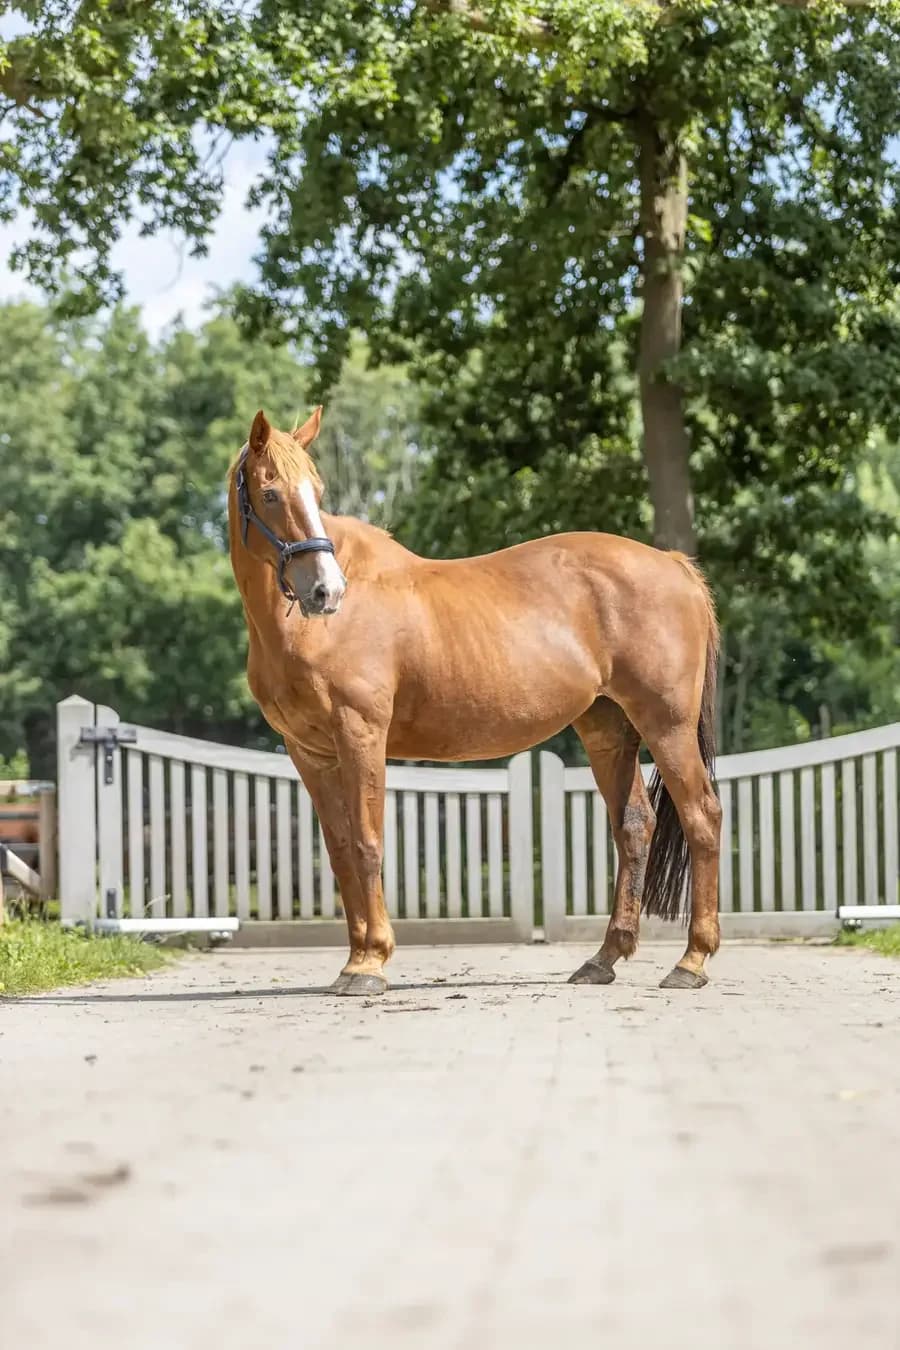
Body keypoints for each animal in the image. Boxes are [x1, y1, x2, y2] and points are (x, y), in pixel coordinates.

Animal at [228, 407, 721, 996]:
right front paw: (353, 960)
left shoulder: (361, 735)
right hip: (608, 730)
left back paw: (691, 961)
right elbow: (343, 851)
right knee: (634, 827)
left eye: (317, 491)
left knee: (702, 817)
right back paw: (604, 958)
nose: (326, 592)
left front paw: (371, 962)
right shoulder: (310, 753)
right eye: (271, 493)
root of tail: (674, 565)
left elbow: (369, 843)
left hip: (666, 725)